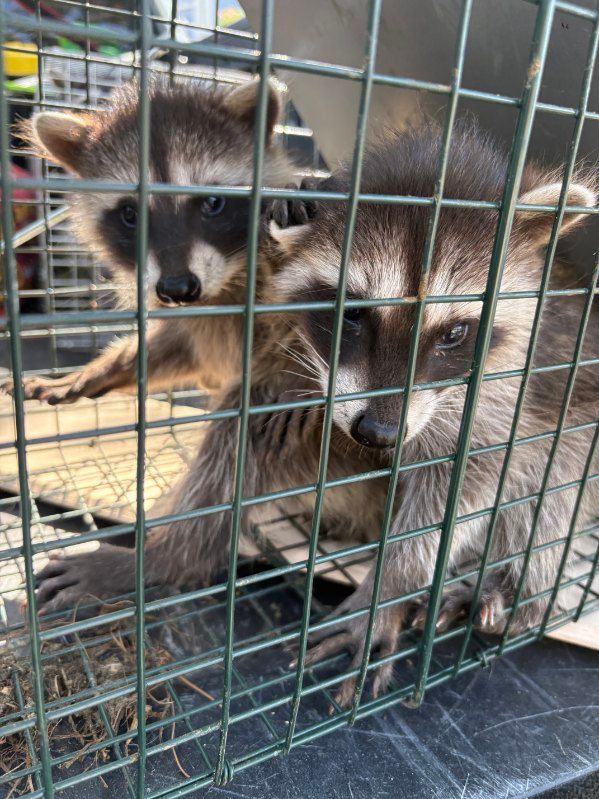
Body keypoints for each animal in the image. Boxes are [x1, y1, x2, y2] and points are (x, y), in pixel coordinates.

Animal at [1, 78, 296, 403]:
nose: (177, 288)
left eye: (213, 202)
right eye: (130, 214)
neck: (224, 288)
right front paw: (96, 372)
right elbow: (171, 347)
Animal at [34, 124, 598, 709]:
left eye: (455, 333)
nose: (377, 433)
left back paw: (514, 588)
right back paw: (174, 552)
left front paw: (390, 588)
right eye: (352, 314)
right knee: (243, 433)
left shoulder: (495, 388)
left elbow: (468, 477)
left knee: (547, 480)